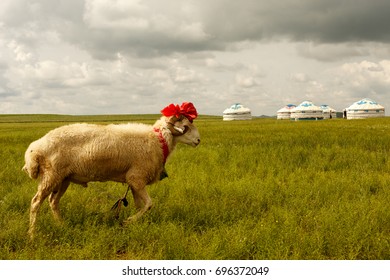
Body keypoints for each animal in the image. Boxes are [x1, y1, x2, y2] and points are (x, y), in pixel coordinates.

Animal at [23, 101, 201, 237]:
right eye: (185, 126)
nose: (199, 140)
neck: (158, 140)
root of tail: (34, 148)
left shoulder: (134, 182)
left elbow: (141, 206)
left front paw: (136, 225)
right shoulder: (137, 178)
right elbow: (149, 204)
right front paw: (128, 221)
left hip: (63, 178)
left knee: (53, 201)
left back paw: (62, 225)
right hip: (51, 176)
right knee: (36, 202)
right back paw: (32, 234)